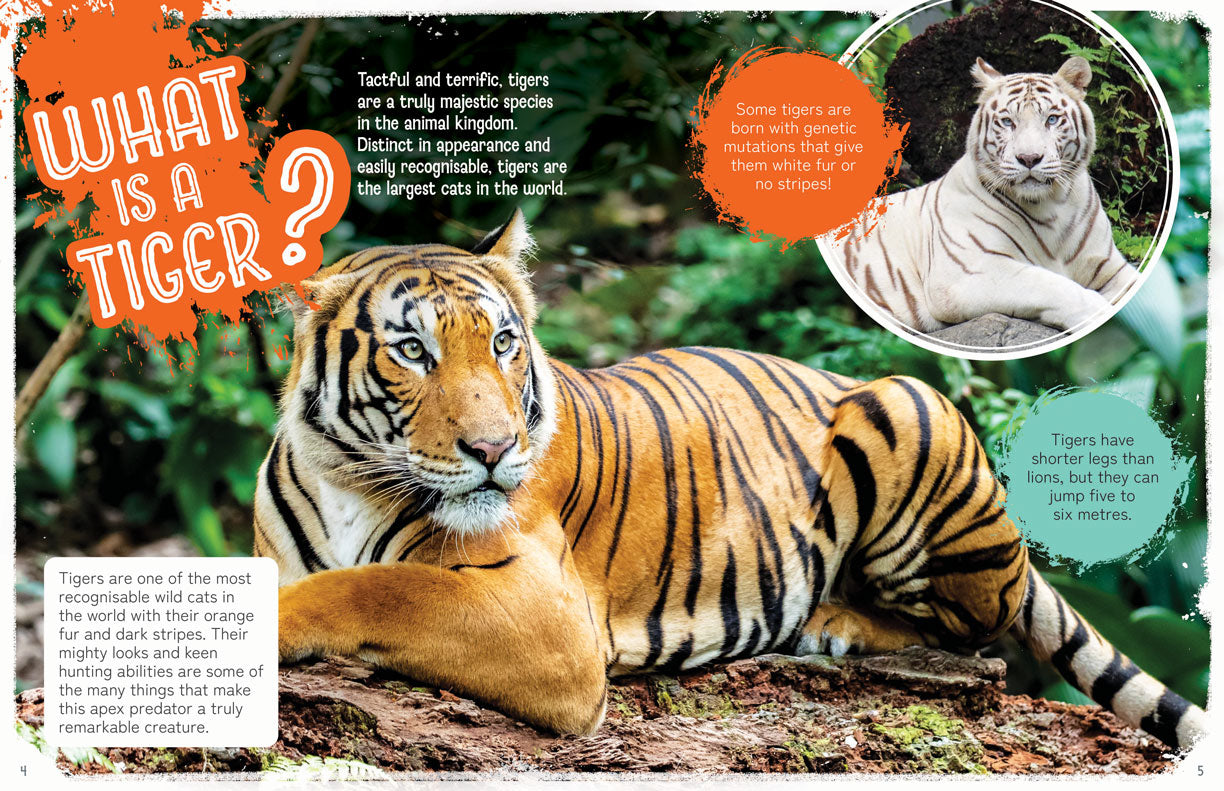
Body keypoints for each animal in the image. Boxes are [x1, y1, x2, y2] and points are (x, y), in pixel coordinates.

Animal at [256, 210, 1205, 749]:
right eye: (412, 350)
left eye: (501, 342)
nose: (494, 449)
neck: (348, 478)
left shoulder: (543, 614)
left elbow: (380, 585)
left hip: (910, 401)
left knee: (971, 633)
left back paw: (833, 622)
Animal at [827, 56, 1139, 338]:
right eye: (1008, 122)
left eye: (1051, 119)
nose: (1029, 158)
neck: (1052, 206)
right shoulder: (965, 274)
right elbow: (1051, 285)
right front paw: (1095, 310)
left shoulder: (1110, 267)